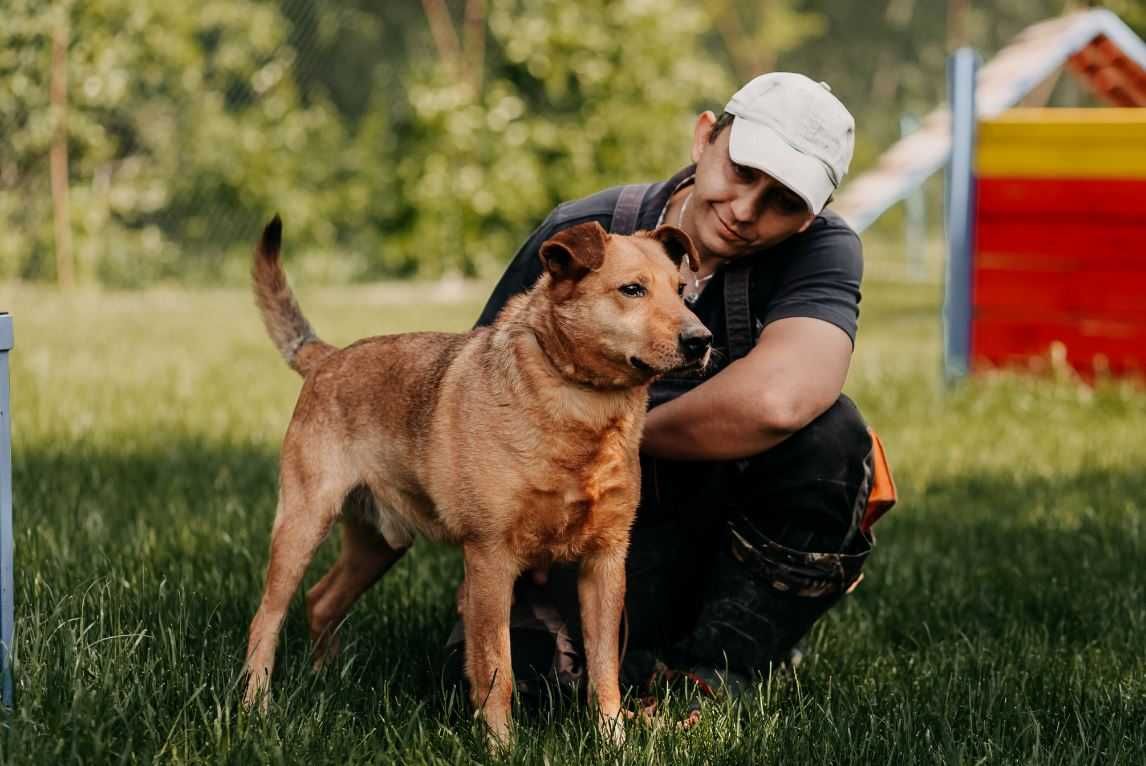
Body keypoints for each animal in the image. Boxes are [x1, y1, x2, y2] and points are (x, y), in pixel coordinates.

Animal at [239, 214, 705, 743]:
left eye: (681, 291)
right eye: (632, 289)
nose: (702, 341)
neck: (581, 409)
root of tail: (326, 357)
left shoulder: (604, 562)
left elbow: (604, 670)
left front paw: (613, 742)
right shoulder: (490, 559)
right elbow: (495, 668)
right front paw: (501, 745)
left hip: (378, 545)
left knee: (321, 600)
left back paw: (326, 680)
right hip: (302, 525)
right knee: (266, 619)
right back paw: (256, 707)